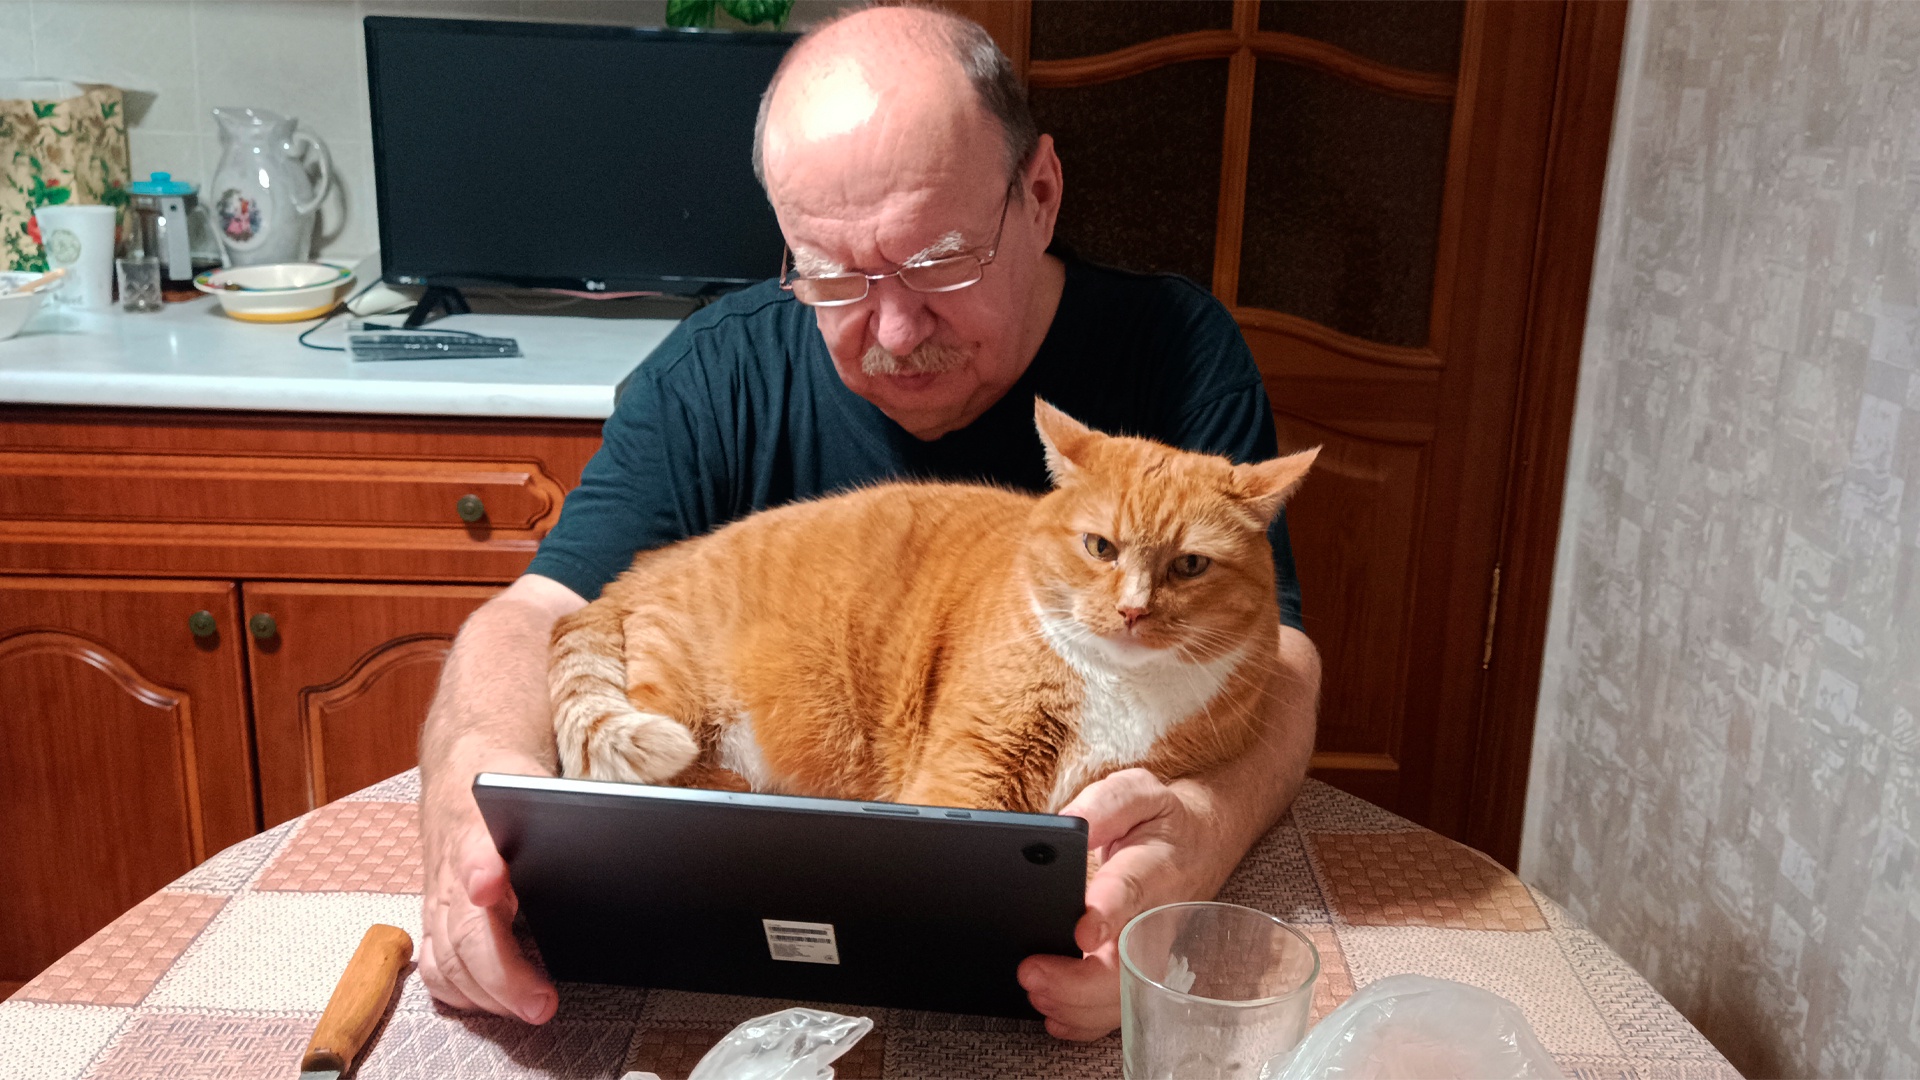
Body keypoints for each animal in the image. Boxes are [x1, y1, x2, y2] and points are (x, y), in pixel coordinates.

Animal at [549, 399, 1313, 810]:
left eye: (1190, 565)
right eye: (1100, 547)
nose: (1132, 612)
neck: (1121, 685)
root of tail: (637, 572)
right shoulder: (975, 761)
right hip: (678, 699)